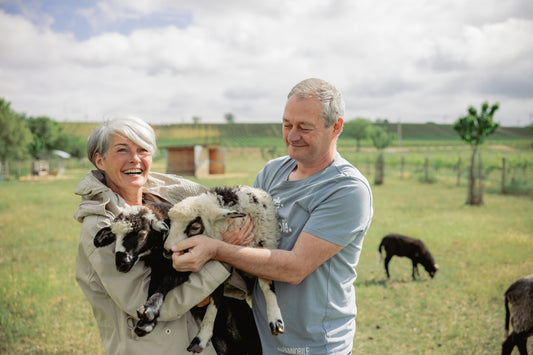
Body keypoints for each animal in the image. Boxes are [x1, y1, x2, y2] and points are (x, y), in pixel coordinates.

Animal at [163, 186, 284, 354]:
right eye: (170, 223)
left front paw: (275, 320)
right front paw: (202, 337)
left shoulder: (265, 248)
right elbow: (215, 297)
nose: (167, 250)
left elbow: (267, 286)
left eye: (195, 227)